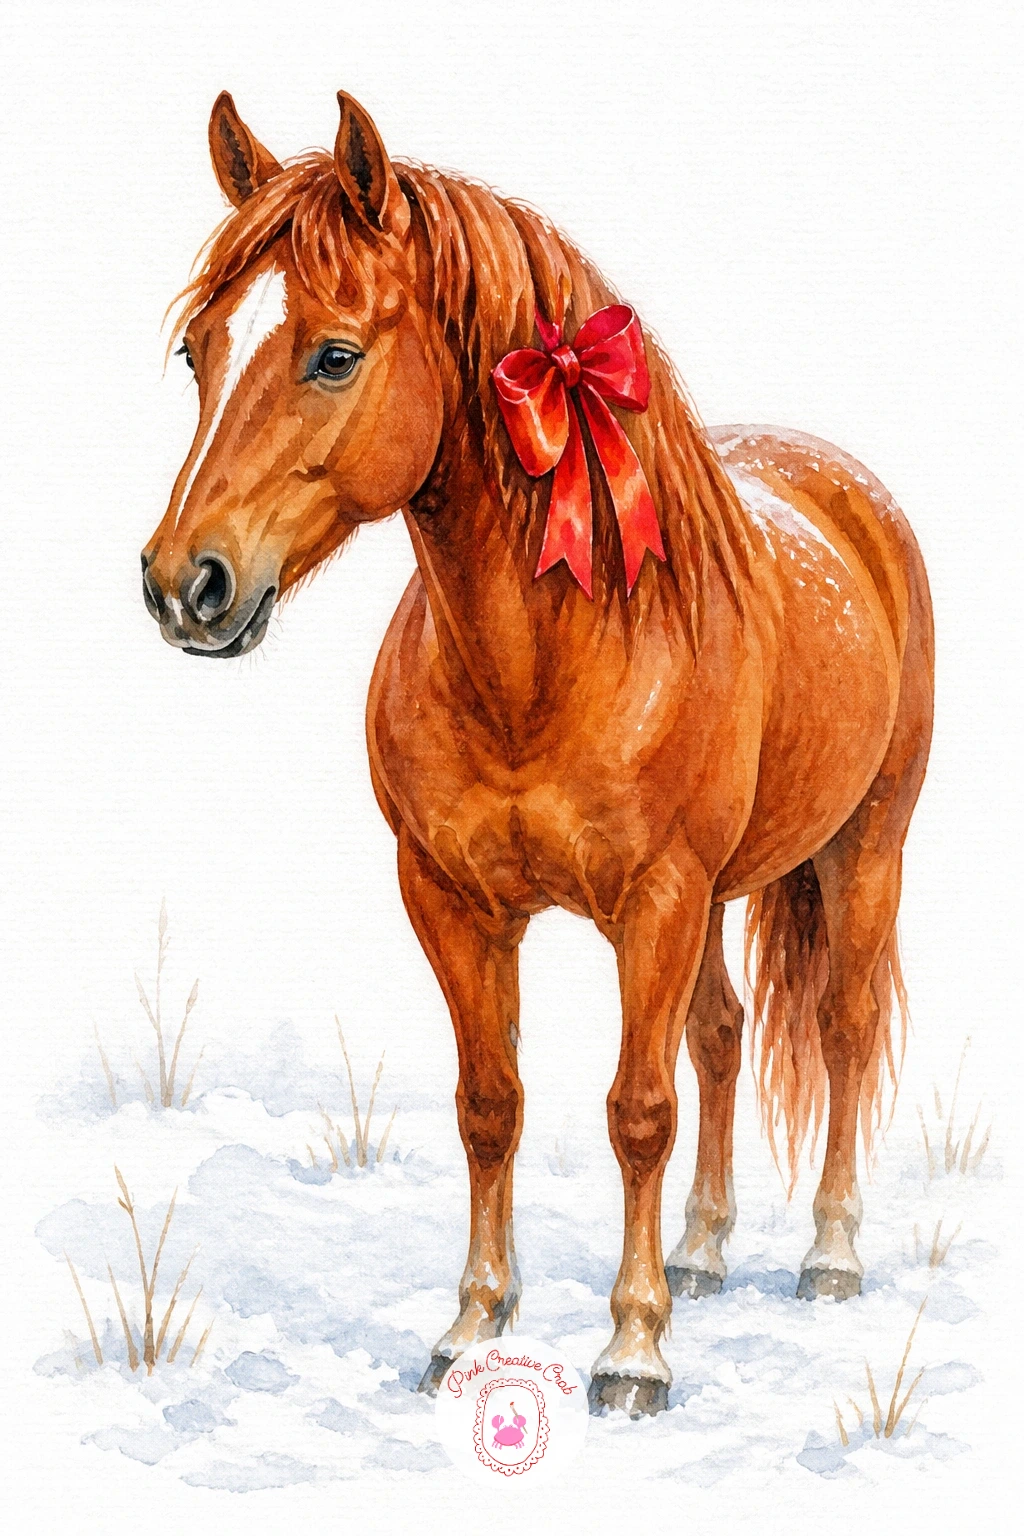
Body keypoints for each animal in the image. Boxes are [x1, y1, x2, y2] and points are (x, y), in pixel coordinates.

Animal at [142, 89, 934, 1418]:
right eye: (200, 350)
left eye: (335, 354)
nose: (180, 586)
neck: (545, 663)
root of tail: (849, 493)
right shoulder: (453, 901)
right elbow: (490, 1104)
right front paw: (470, 1327)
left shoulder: (656, 900)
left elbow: (637, 1111)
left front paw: (631, 1352)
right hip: (723, 894)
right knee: (723, 1035)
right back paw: (704, 1250)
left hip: (858, 849)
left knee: (837, 1027)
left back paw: (827, 1255)